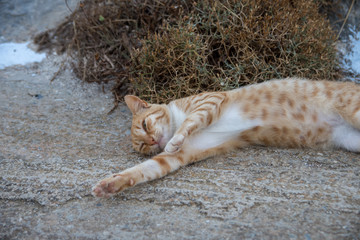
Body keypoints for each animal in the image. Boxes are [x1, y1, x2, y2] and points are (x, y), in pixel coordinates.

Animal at [92, 78, 360, 198]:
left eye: (145, 125)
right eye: (141, 147)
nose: (151, 142)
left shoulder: (210, 102)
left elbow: (188, 123)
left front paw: (174, 138)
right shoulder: (176, 157)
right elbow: (142, 170)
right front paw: (110, 184)